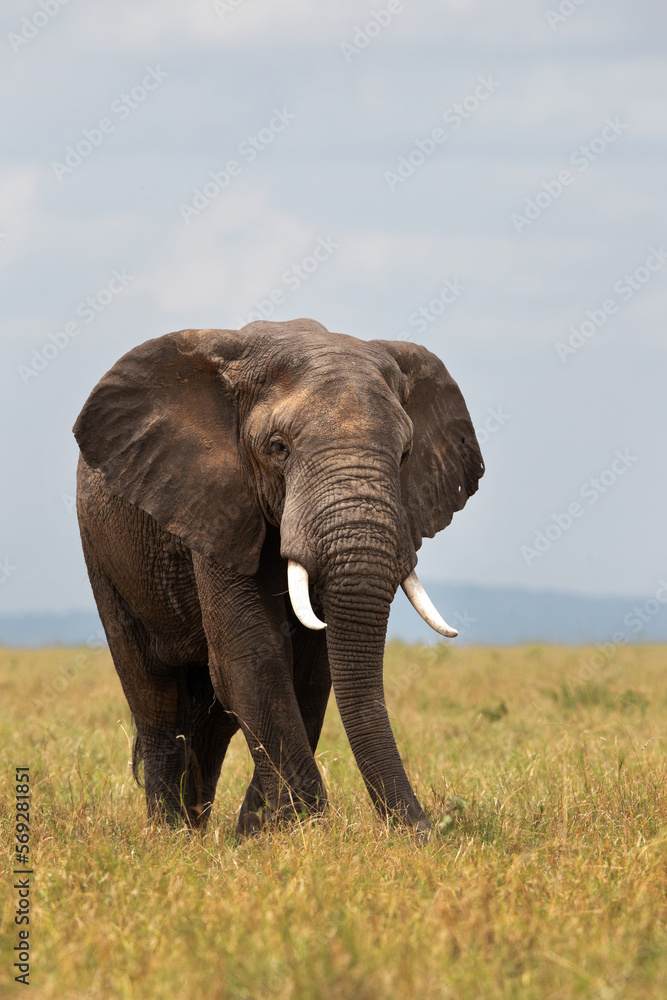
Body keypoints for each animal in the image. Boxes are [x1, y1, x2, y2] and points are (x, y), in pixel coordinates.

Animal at [73, 318, 483, 835]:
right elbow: (252, 654)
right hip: (103, 551)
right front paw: (301, 830)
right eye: (278, 448)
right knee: (155, 693)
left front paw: (262, 832)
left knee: (212, 719)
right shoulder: (215, 502)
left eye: (406, 453)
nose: (424, 831)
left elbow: (309, 673)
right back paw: (169, 833)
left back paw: (200, 829)